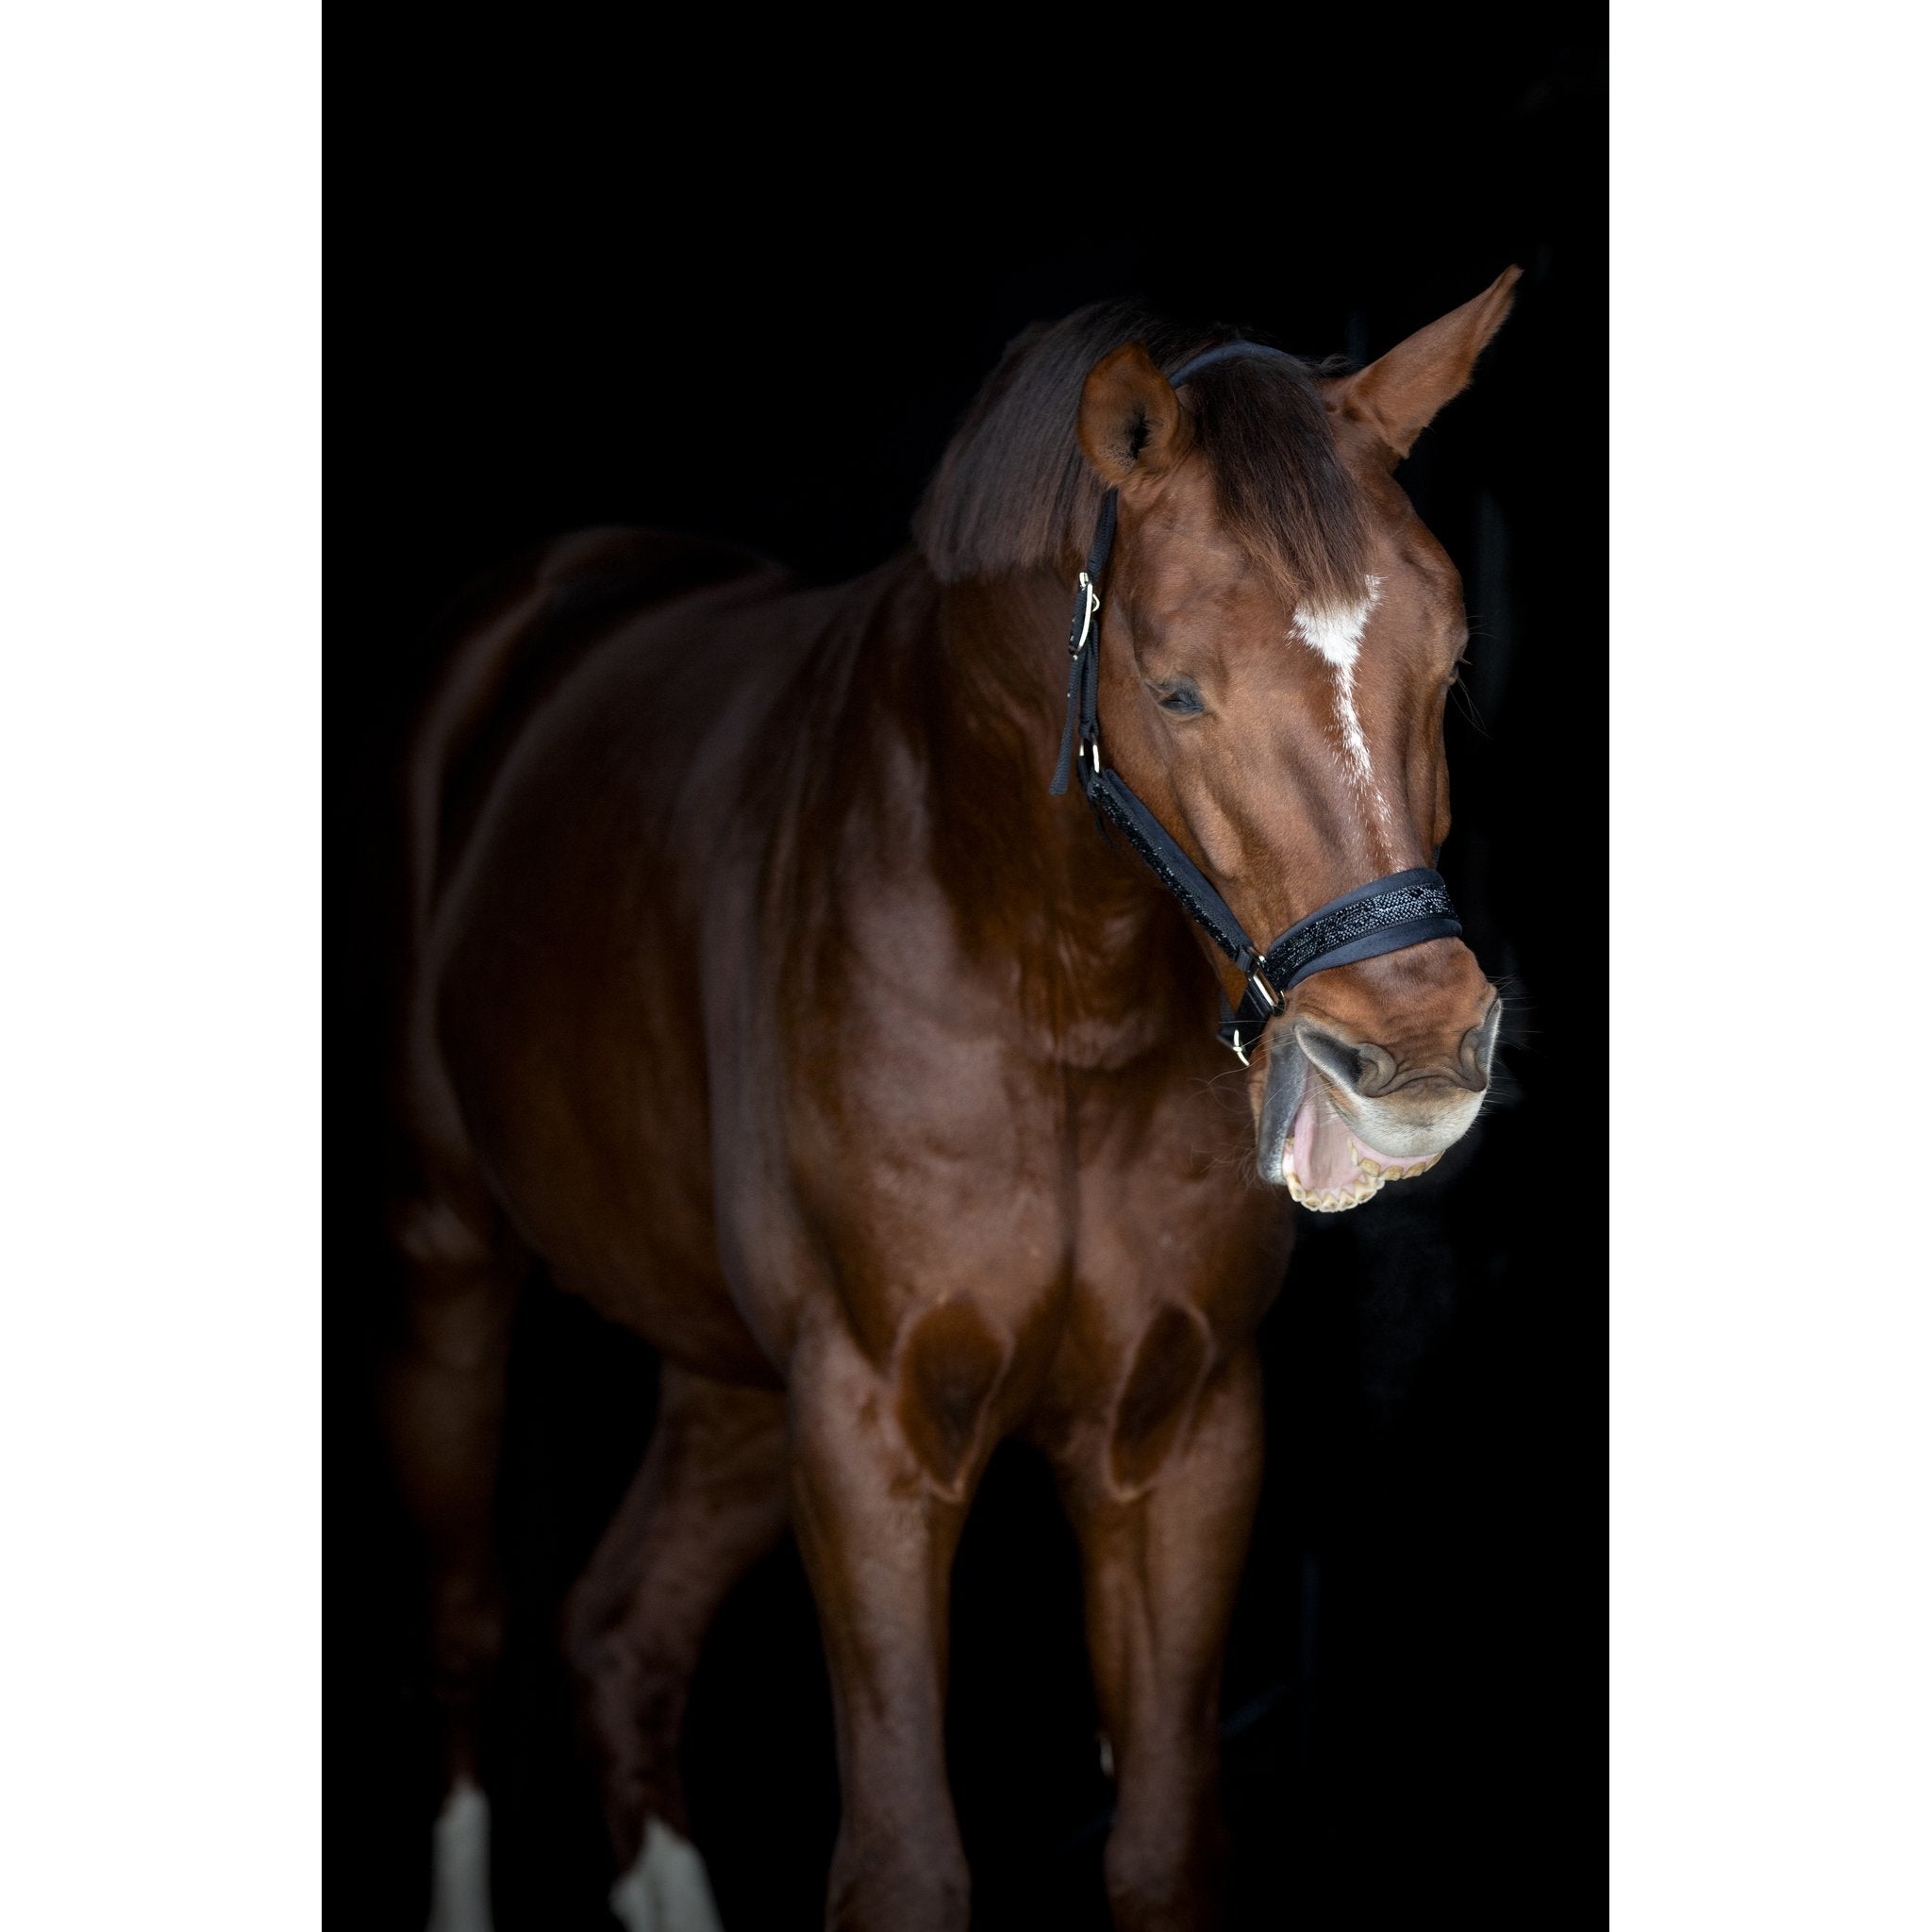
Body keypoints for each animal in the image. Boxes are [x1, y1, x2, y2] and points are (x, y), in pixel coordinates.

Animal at [382, 266, 1520, 1932]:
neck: (1050, 988)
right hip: (453, 1267)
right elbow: (903, 1866)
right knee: (471, 1636)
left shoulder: (1181, 1432)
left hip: (728, 1378)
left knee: (621, 1629)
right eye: (1177, 688)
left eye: (1444, 662)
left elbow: (1164, 1847)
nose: (1418, 1055)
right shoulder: (872, 1431)